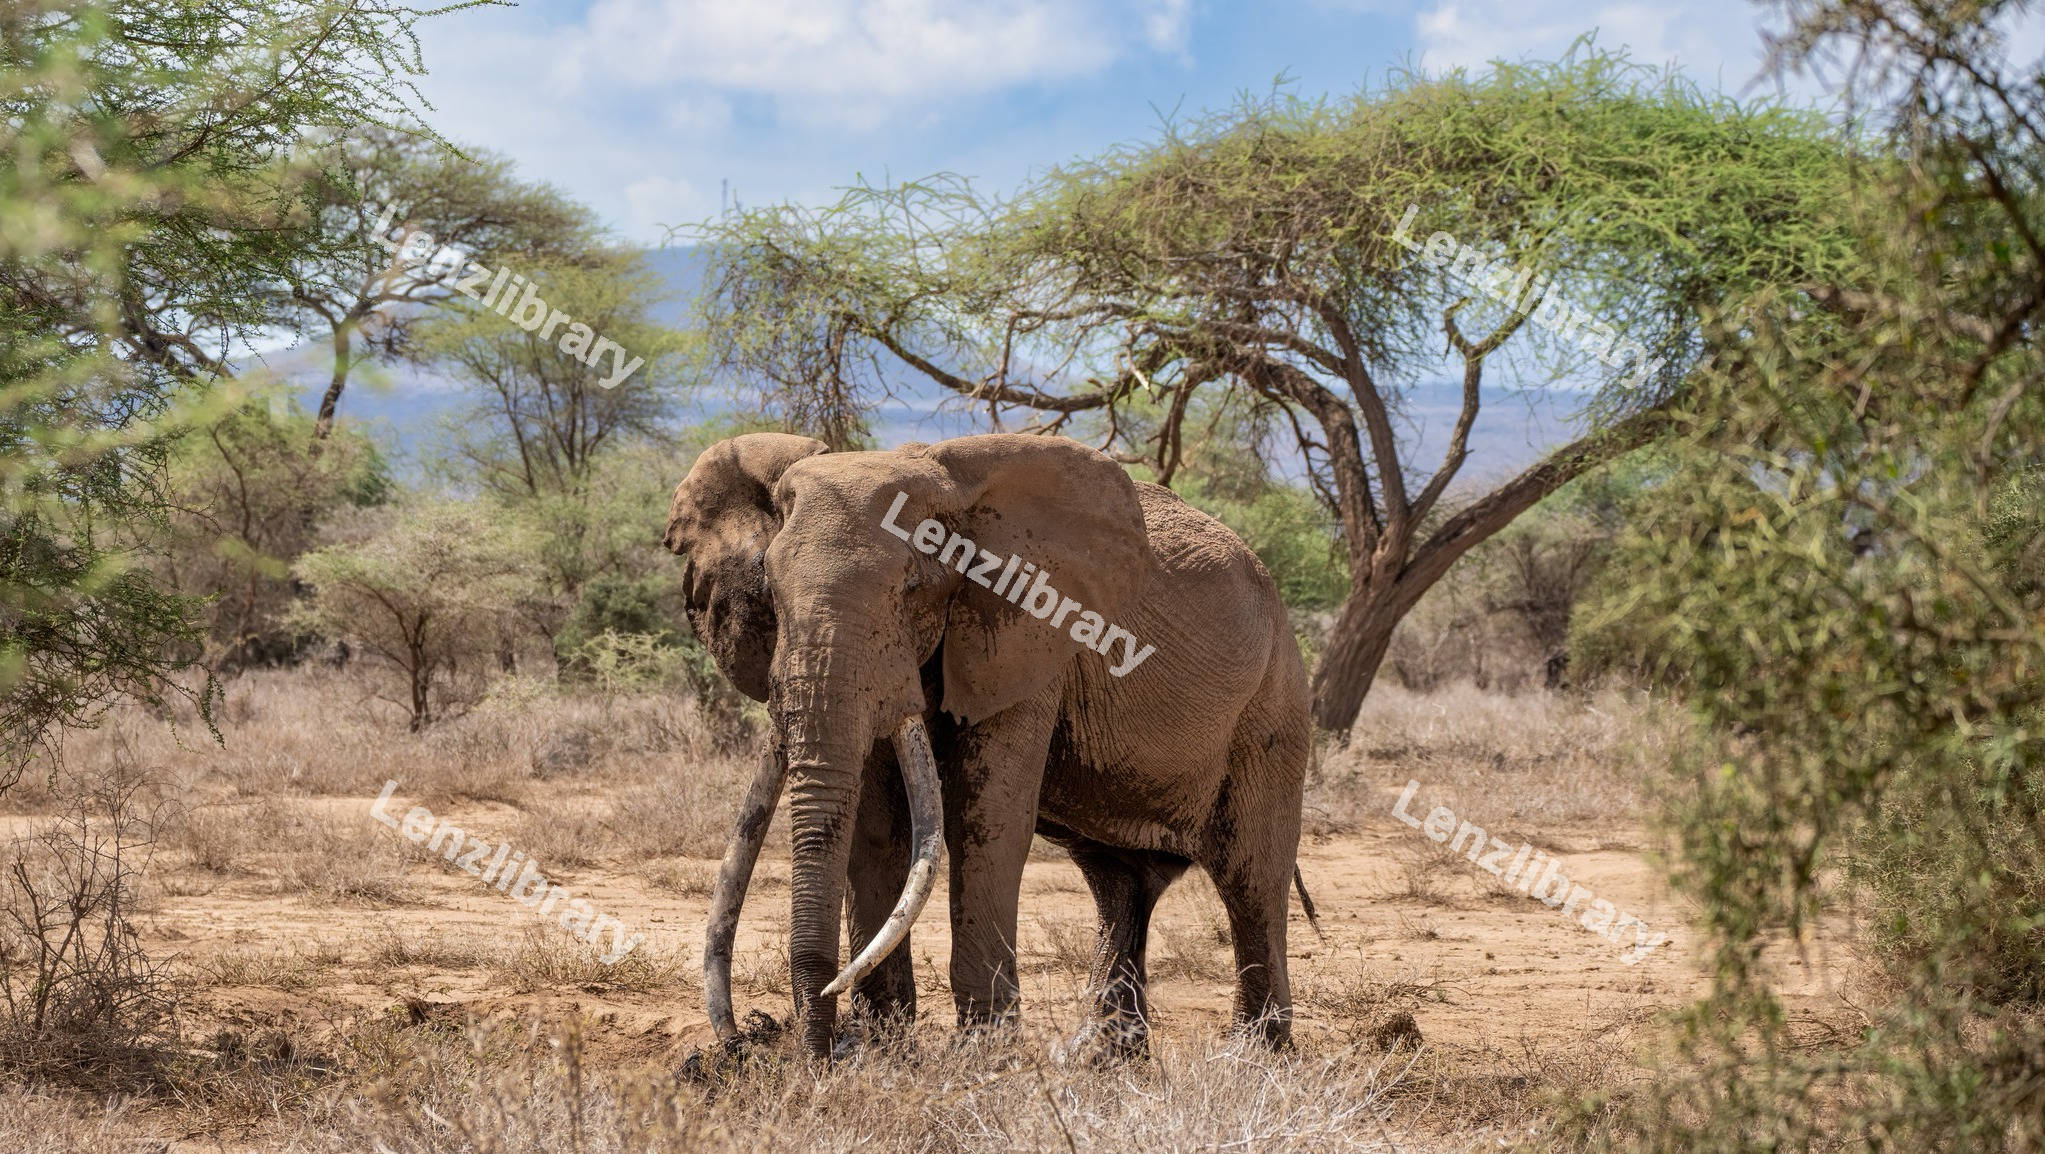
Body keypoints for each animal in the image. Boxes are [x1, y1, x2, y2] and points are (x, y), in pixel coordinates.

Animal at [662, 431, 1312, 1060]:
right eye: (768, 590)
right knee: (1117, 883)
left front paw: (984, 1054)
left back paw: (1252, 1058)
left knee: (1250, 878)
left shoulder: (1030, 634)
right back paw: (1102, 1058)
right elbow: (878, 825)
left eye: (913, 588)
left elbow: (988, 818)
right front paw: (882, 1049)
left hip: (1274, 703)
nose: (744, 1041)